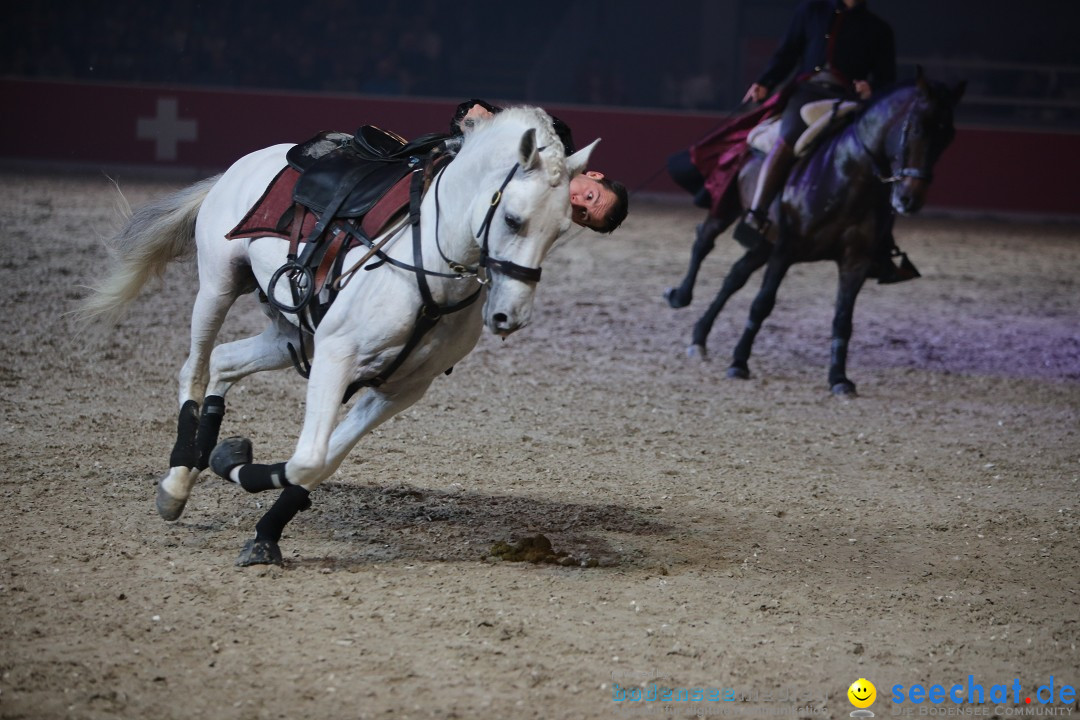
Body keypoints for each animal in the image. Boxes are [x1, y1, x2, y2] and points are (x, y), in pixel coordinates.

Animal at [78, 108, 596, 569]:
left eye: (560, 230)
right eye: (512, 219)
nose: (510, 316)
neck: (429, 263)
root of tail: (247, 162)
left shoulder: (399, 389)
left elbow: (320, 462)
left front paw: (256, 515)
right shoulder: (335, 356)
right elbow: (307, 458)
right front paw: (239, 480)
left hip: (290, 336)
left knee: (224, 361)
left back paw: (203, 456)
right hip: (218, 287)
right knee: (196, 367)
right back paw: (179, 476)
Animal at [665, 70, 963, 397]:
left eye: (948, 137)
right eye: (916, 129)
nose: (910, 199)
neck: (849, 174)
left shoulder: (855, 260)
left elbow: (843, 319)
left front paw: (839, 379)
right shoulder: (785, 250)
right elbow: (762, 303)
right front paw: (739, 362)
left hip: (763, 244)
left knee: (734, 276)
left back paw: (700, 336)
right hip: (729, 207)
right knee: (704, 241)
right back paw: (680, 297)